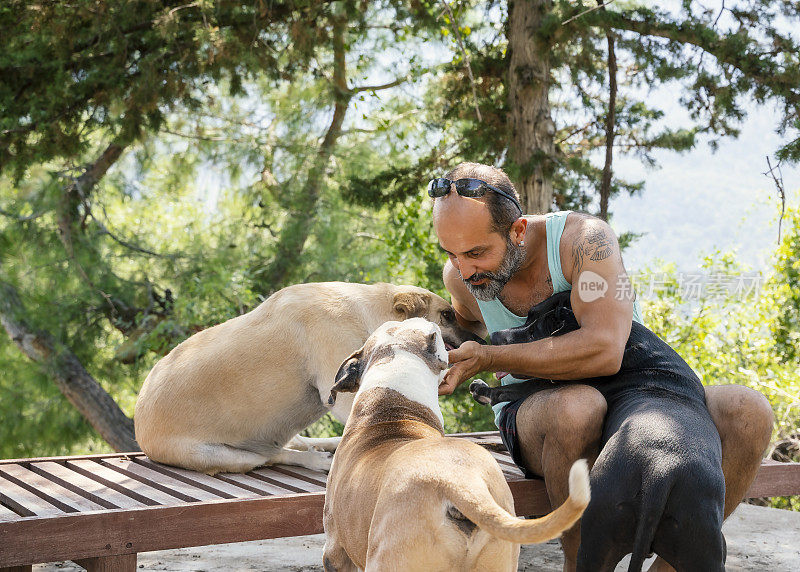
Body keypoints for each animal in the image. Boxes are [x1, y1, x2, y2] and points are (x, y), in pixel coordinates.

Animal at [134, 282, 482, 474]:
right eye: (447, 315)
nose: (480, 340)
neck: (369, 310)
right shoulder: (345, 395)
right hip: (220, 455)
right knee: (272, 456)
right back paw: (317, 461)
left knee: (294, 443)